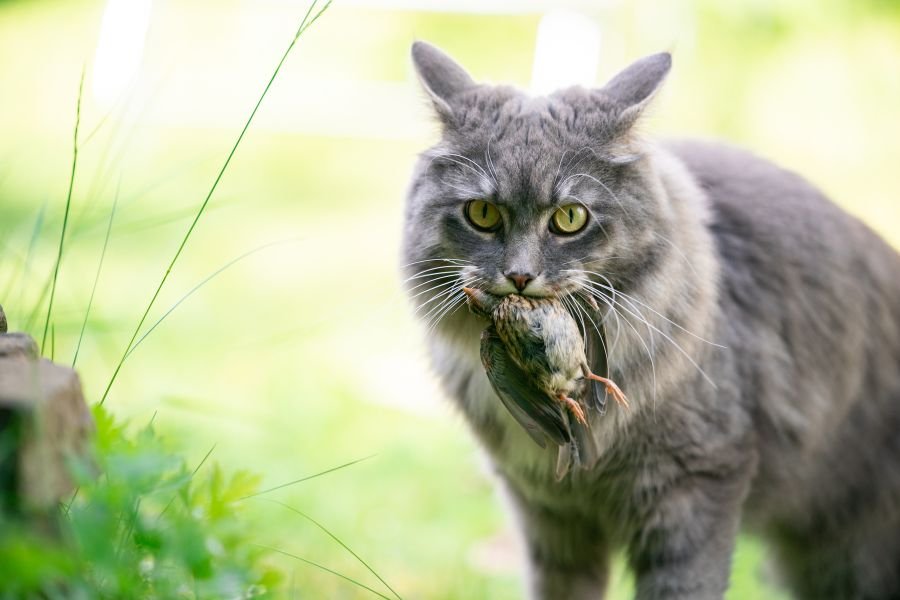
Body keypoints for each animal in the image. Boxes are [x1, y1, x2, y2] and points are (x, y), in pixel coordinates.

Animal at [400, 42, 900, 600]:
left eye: (569, 218)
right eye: (482, 214)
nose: (520, 276)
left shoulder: (694, 485)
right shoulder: (548, 512)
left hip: (854, 554)